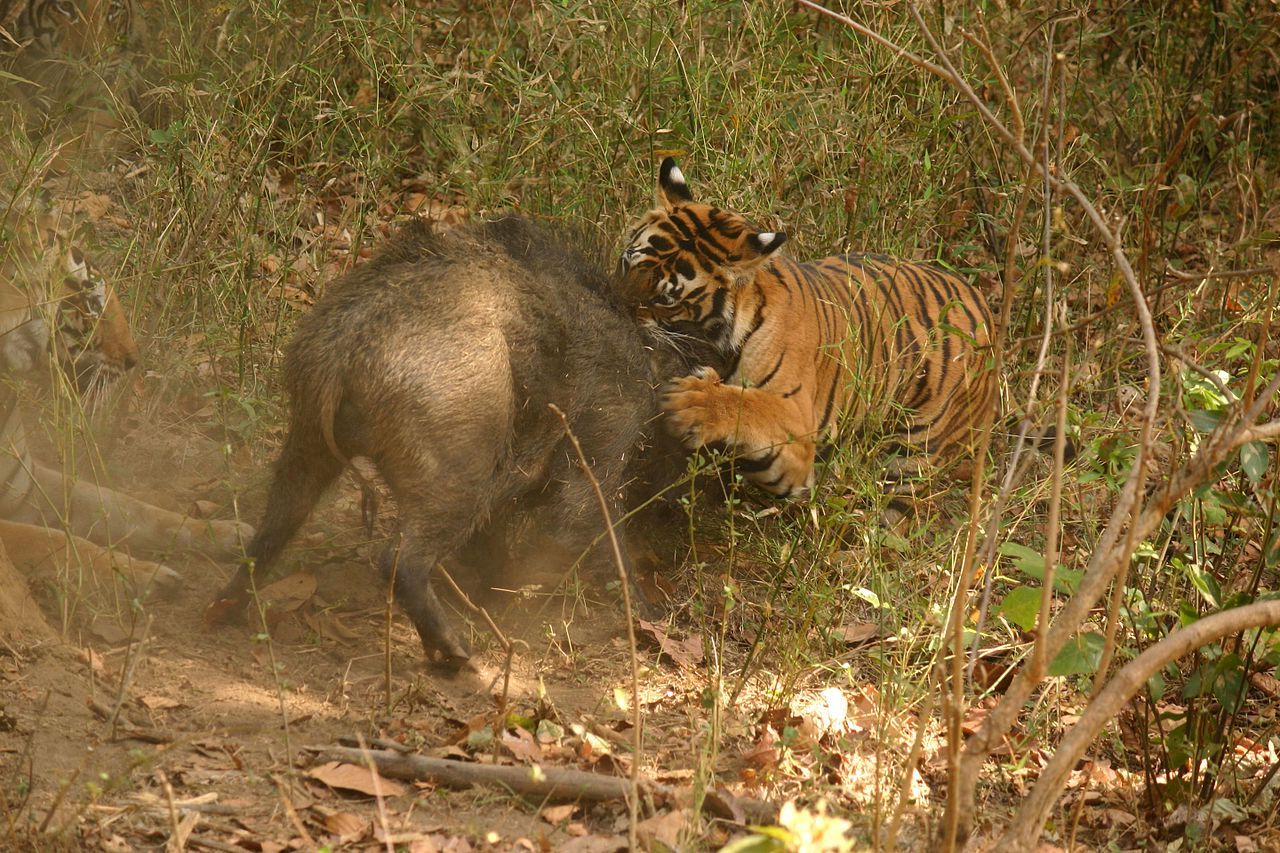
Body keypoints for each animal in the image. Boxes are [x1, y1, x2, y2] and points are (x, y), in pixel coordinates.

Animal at [0, 222, 252, 601]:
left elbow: (129, 507)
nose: (134, 358)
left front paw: (225, 532)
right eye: (90, 305)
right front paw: (144, 575)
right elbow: (54, 542)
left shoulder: (25, 486)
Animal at [611, 156, 998, 502]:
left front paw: (694, 401)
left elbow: (750, 406)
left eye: (665, 299)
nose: (615, 308)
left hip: (915, 454)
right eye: (626, 262)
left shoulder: (796, 432)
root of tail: (980, 300)